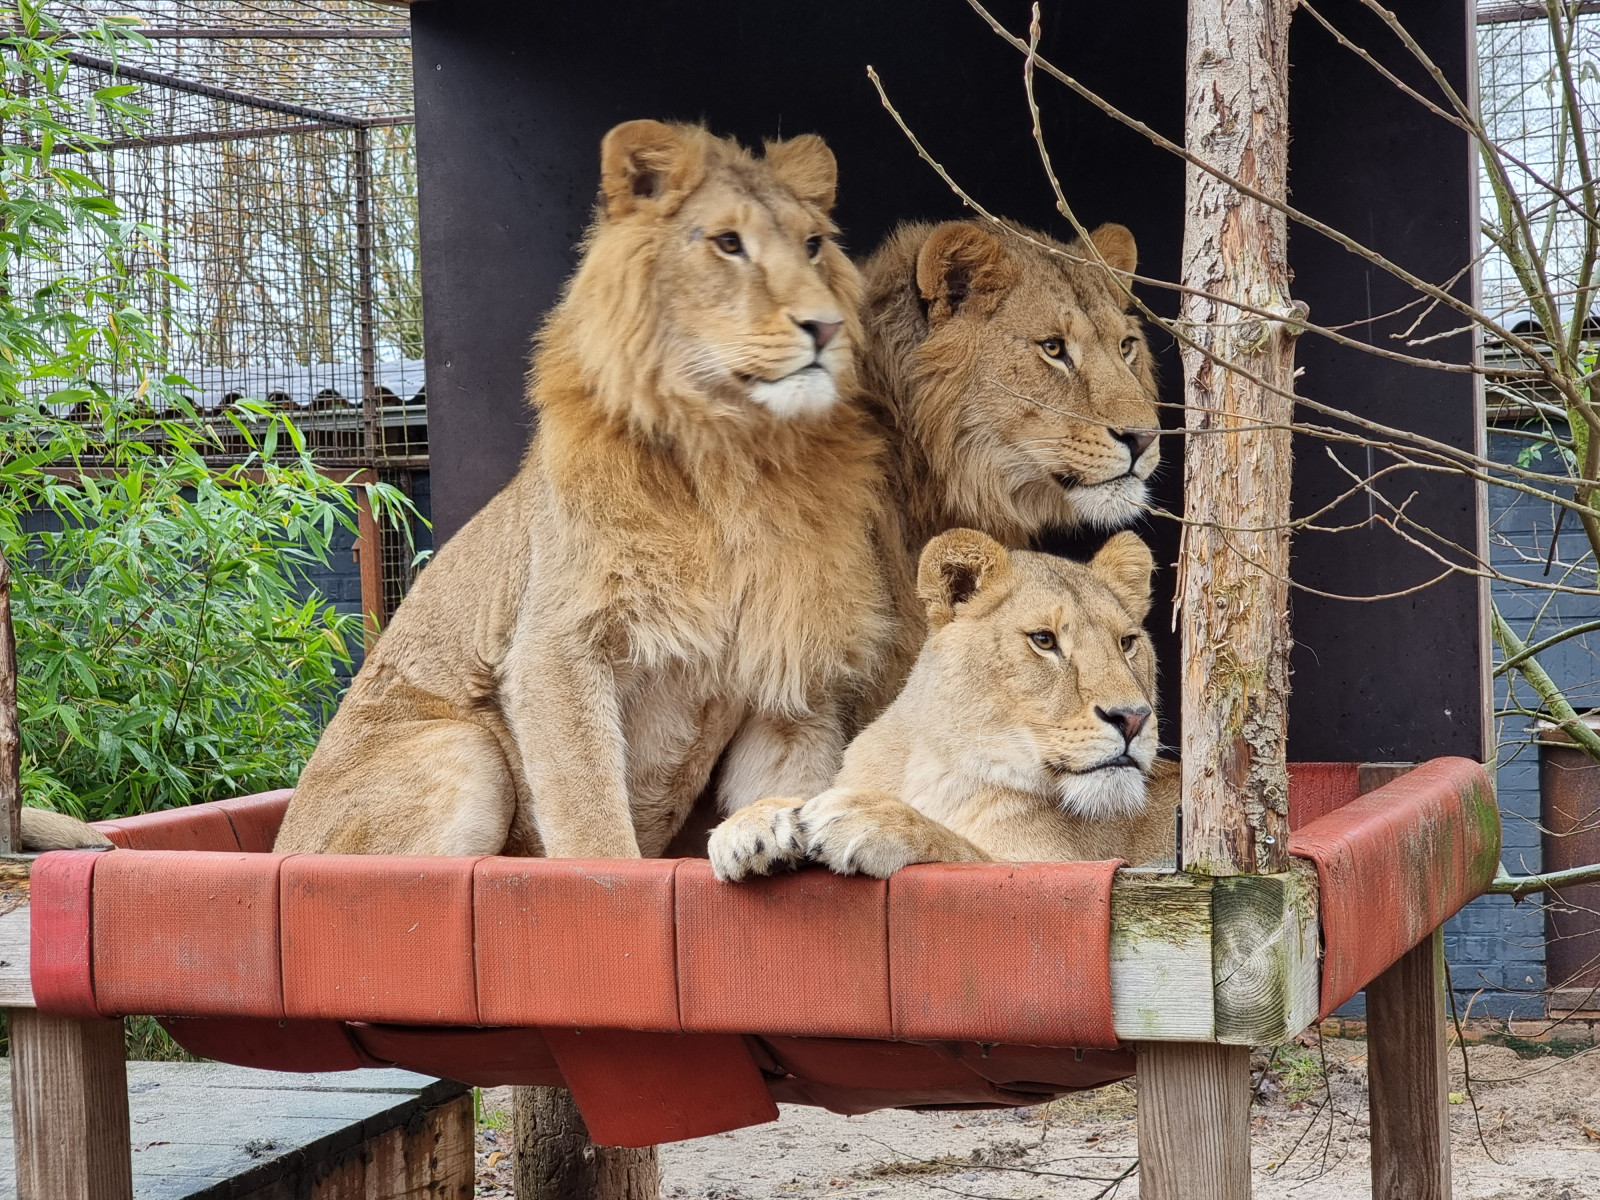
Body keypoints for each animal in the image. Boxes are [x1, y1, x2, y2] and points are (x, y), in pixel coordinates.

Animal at [269, 120, 892, 860]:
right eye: (728, 243)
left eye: (814, 244)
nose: (826, 327)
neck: (732, 457)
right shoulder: (556, 646)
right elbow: (591, 819)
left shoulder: (787, 661)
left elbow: (790, 774)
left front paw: (765, 831)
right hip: (466, 748)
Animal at [709, 529, 1178, 880]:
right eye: (1044, 640)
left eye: (1127, 643)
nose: (1132, 718)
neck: (933, 765)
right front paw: (757, 822)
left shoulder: (1061, 866)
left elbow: (963, 852)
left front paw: (871, 817)